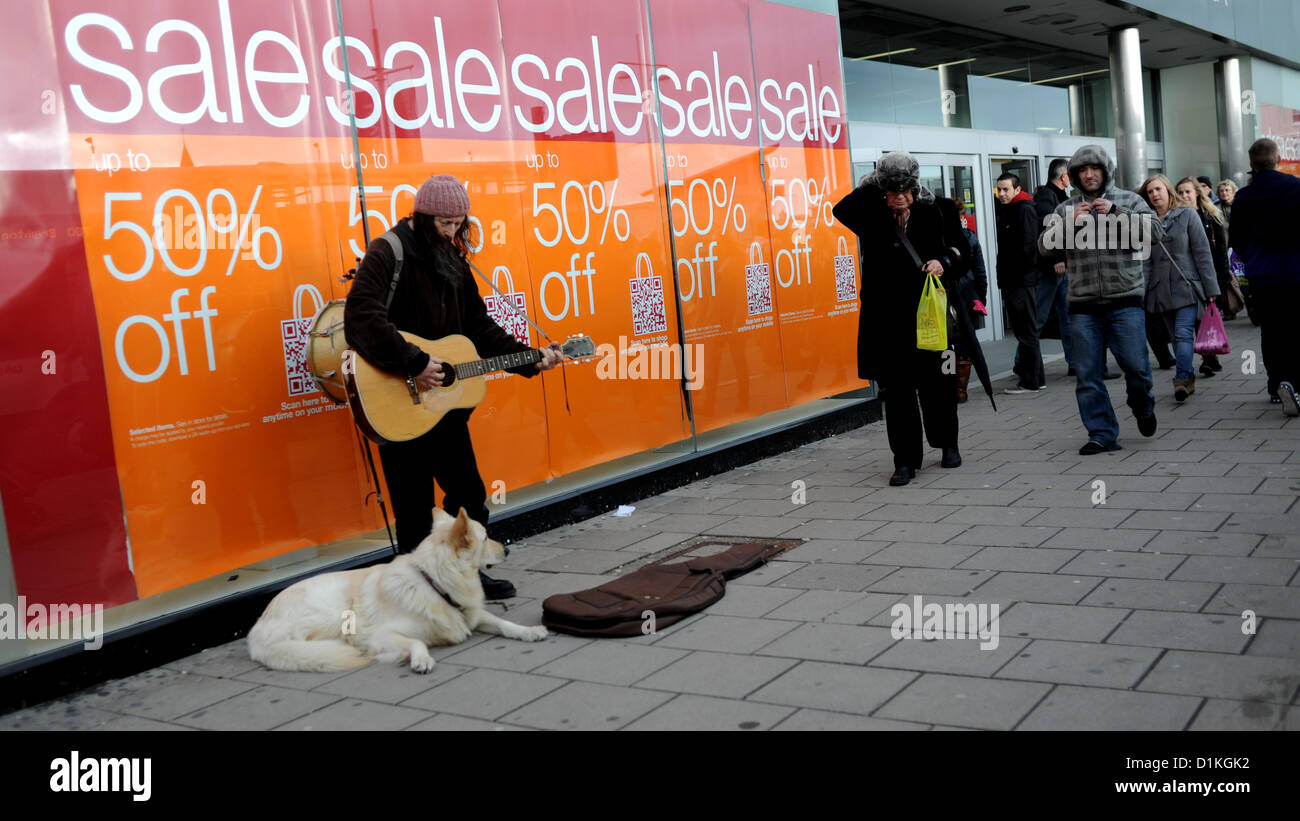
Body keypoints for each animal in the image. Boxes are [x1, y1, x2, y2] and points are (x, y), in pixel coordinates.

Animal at [246, 506, 543, 675]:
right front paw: (421, 659)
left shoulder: (470, 614)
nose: (506, 550)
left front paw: (529, 631)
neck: (433, 584)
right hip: (334, 610)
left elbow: (504, 623)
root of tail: (256, 631)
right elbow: (417, 641)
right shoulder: (384, 634)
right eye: (486, 538)